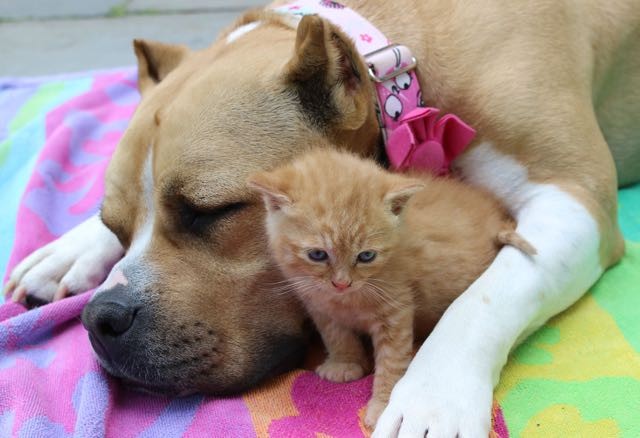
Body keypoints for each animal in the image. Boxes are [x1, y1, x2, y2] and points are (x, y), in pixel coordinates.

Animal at [248, 148, 532, 428]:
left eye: (366, 256)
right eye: (317, 254)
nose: (342, 283)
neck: (346, 299)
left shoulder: (396, 309)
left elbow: (392, 361)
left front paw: (382, 407)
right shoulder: (318, 304)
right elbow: (336, 334)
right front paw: (345, 363)